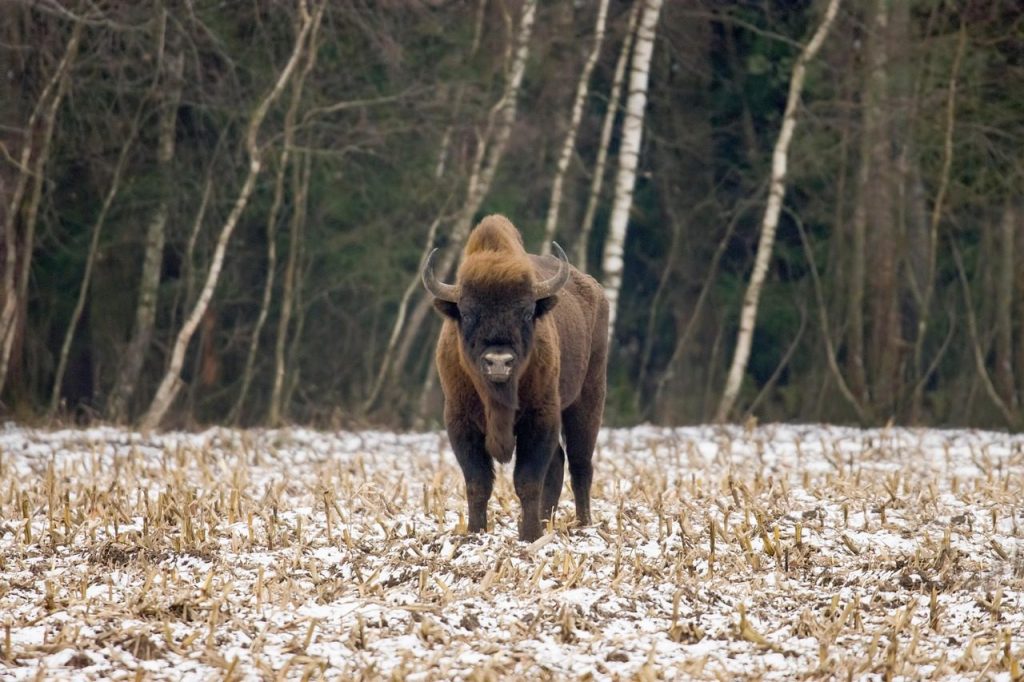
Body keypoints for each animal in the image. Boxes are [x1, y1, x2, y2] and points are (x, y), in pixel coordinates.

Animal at [422, 215, 608, 541]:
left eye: (525, 311)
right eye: (467, 314)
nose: (499, 361)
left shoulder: (540, 417)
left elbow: (527, 480)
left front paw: (530, 535)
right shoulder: (459, 422)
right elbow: (477, 482)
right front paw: (475, 533)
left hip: (587, 400)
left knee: (580, 465)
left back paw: (583, 525)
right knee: (560, 463)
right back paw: (549, 521)